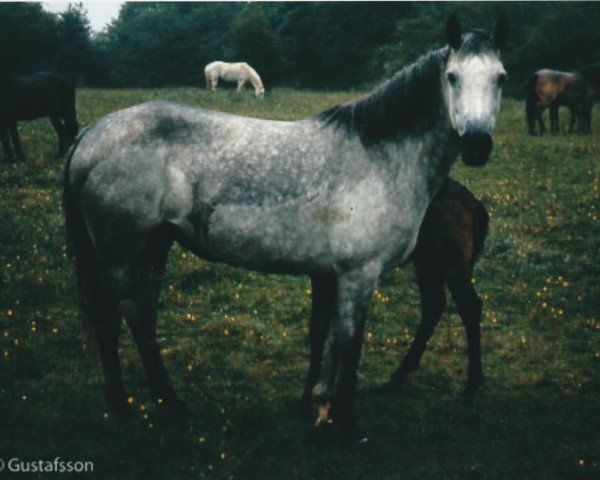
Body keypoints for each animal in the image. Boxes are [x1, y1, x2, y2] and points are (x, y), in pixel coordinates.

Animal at [64, 15, 506, 442]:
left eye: (500, 77)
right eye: (453, 77)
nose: (477, 145)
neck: (381, 155)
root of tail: (91, 135)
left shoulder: (333, 275)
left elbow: (329, 338)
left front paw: (322, 405)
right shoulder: (359, 274)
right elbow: (350, 343)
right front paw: (348, 424)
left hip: (155, 248)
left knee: (141, 316)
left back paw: (171, 402)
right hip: (120, 256)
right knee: (110, 320)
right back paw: (123, 408)